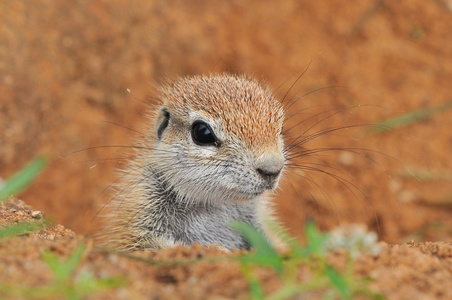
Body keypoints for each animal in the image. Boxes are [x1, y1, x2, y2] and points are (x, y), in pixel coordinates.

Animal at [103, 74, 286, 251]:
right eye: (203, 132)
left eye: (281, 128)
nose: (272, 169)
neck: (213, 204)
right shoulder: (141, 207)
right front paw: (215, 250)